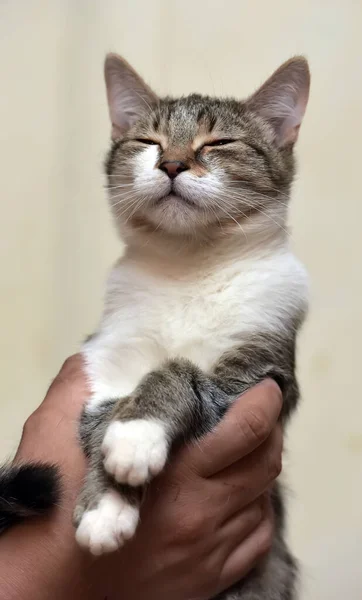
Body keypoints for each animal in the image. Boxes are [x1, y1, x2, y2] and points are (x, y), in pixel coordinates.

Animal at [0, 52, 312, 600]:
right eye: (148, 141)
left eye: (219, 142)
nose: (171, 164)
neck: (190, 269)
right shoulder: (107, 365)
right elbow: (106, 412)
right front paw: (108, 503)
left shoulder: (259, 375)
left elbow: (180, 373)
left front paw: (135, 436)